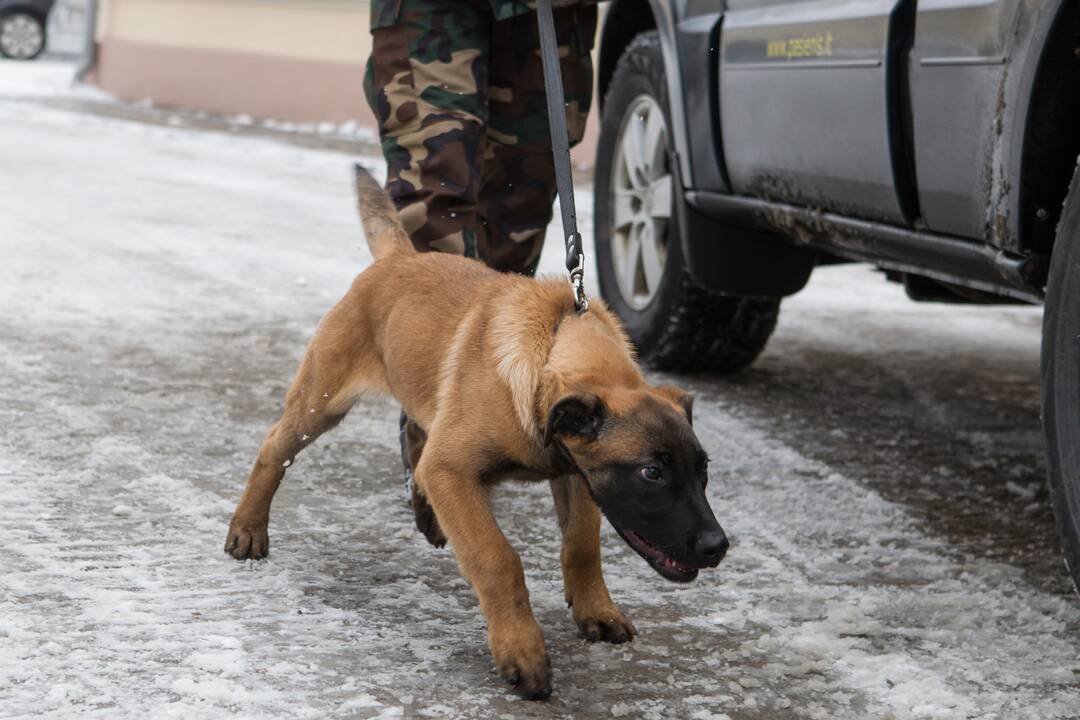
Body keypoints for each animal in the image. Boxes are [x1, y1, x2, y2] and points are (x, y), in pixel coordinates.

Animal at [225, 166, 734, 699]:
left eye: (703, 472)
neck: (550, 349)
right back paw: (248, 528)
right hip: (320, 400)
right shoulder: (455, 470)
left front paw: (596, 609)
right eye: (651, 473)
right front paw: (522, 651)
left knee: (416, 440)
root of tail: (401, 257)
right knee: (275, 448)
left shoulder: (575, 473)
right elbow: (497, 558)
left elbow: (581, 544)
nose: (717, 546)